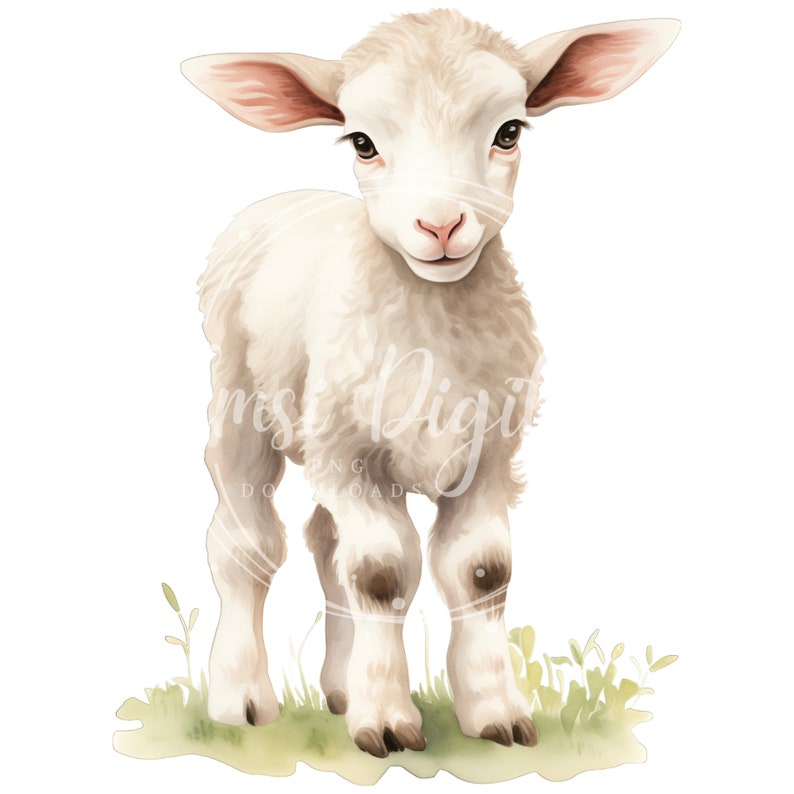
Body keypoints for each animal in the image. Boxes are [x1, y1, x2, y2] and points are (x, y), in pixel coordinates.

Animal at [181, 9, 679, 758]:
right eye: (362, 142)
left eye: (510, 131)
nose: (441, 224)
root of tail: (289, 197)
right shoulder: (353, 454)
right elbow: (382, 571)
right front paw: (387, 720)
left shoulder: (490, 455)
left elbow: (482, 570)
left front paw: (494, 713)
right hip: (244, 402)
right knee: (246, 546)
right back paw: (241, 700)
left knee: (325, 541)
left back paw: (339, 688)